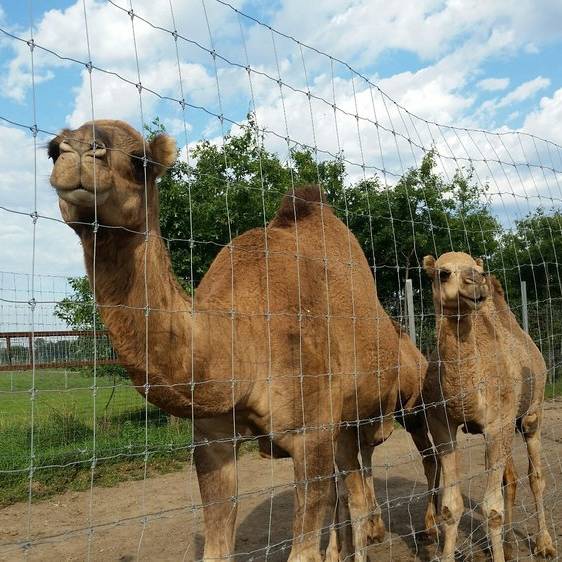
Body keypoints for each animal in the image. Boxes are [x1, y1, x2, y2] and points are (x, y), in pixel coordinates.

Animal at [49, 119, 424, 560]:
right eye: (52, 149)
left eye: (140, 161)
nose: (76, 152)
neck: (244, 338)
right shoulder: (212, 439)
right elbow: (216, 545)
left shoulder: (312, 433)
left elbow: (305, 545)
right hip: (350, 424)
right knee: (353, 488)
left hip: (383, 411)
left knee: (364, 487)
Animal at [412, 252, 556, 556]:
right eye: (443, 273)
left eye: (478, 269)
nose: (477, 282)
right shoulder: (442, 425)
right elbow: (450, 506)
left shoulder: (496, 426)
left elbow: (492, 510)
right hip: (508, 424)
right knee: (510, 478)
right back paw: (509, 543)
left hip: (531, 414)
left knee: (536, 477)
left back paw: (544, 544)